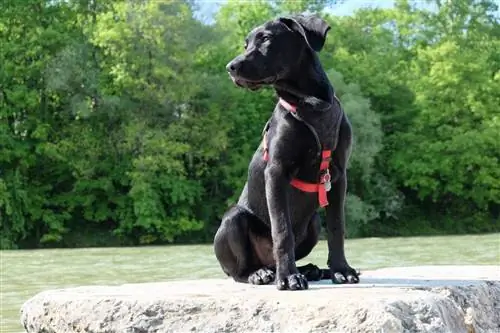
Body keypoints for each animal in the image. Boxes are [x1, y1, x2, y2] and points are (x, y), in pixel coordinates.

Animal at [212, 14, 360, 290]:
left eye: (265, 38)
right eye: (246, 43)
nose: (230, 67)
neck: (312, 105)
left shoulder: (338, 176)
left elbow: (337, 228)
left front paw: (341, 270)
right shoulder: (276, 171)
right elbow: (282, 230)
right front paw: (289, 277)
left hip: (313, 224)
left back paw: (311, 269)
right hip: (233, 218)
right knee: (238, 270)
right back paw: (260, 274)